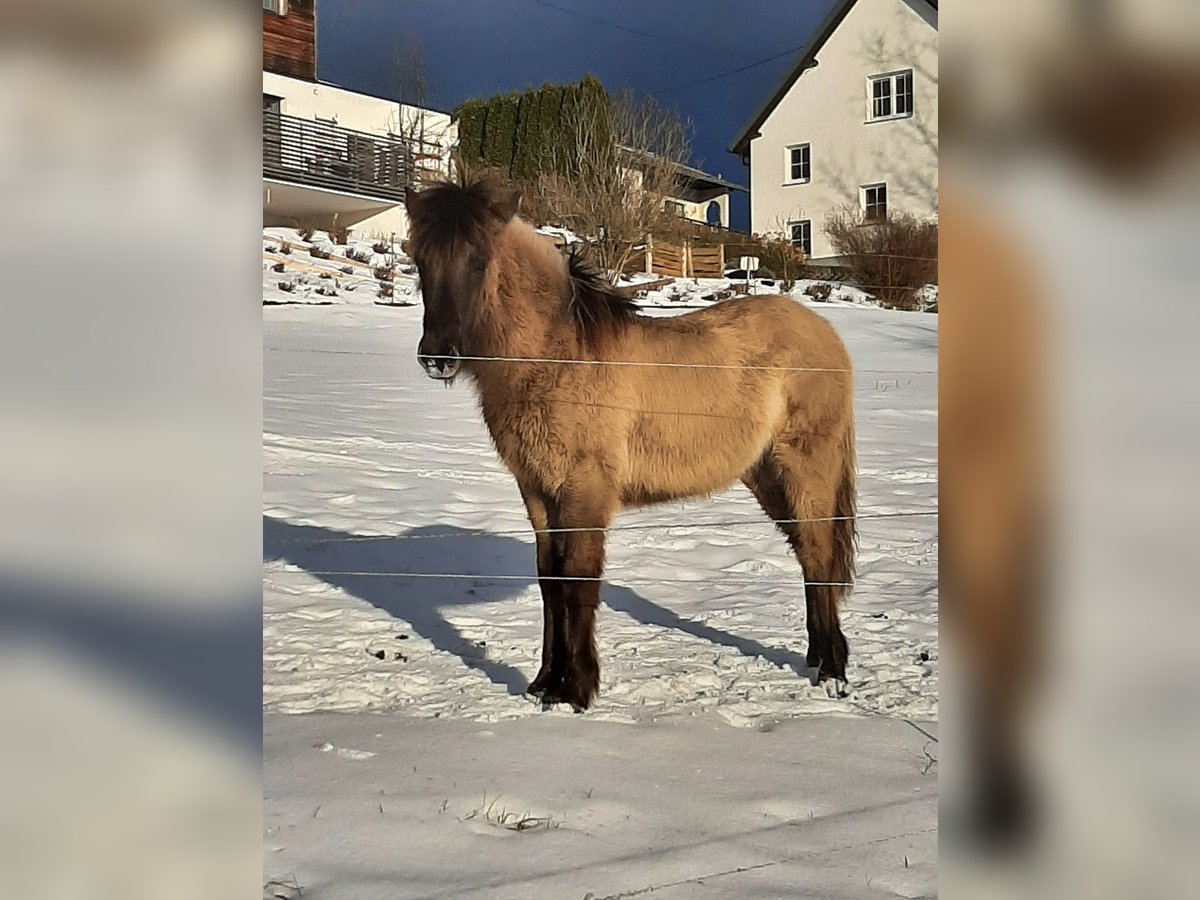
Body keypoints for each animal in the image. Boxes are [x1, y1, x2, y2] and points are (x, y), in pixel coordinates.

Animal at [408, 176, 859, 710]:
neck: (557, 358)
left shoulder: (584, 492)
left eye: (478, 259)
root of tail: (826, 334)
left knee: (819, 555)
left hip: (805, 468)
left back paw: (832, 673)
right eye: (419, 259)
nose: (437, 357)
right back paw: (818, 659)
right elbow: (550, 579)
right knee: (808, 556)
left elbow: (578, 578)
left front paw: (576, 690)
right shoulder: (537, 492)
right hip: (766, 475)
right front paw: (544, 683)